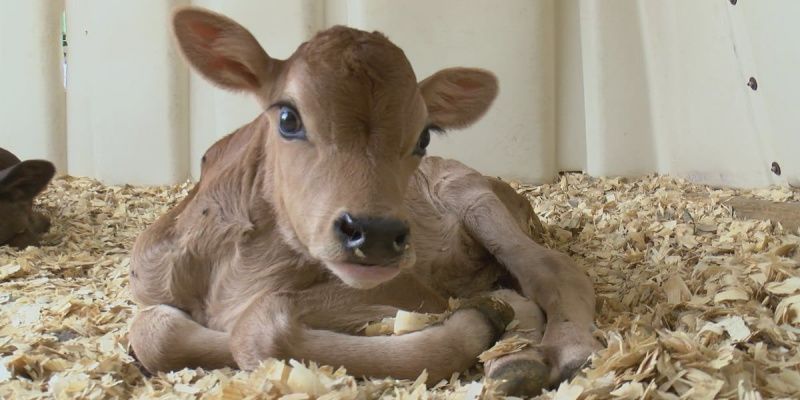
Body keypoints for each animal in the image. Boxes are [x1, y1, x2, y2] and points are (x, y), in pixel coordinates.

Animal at [128, 8, 599, 396]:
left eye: (424, 136)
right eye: (288, 118)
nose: (375, 233)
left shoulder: (410, 289)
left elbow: (255, 327)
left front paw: (483, 320)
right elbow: (152, 332)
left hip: (470, 194)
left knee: (552, 267)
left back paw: (555, 350)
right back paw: (515, 359)